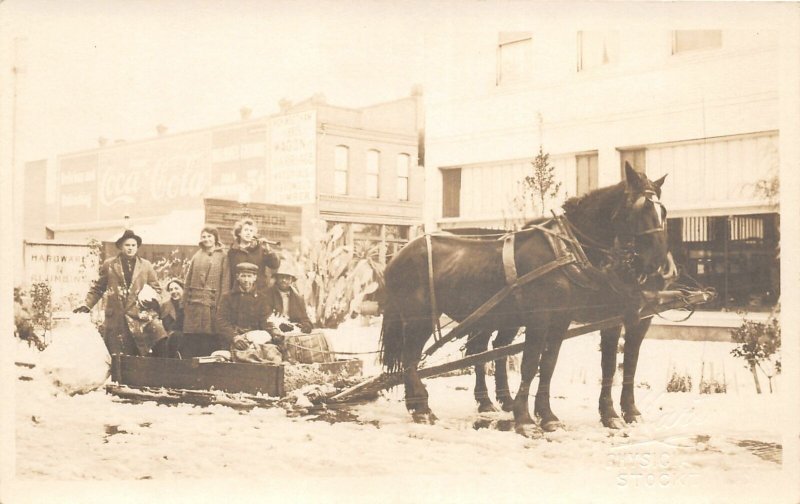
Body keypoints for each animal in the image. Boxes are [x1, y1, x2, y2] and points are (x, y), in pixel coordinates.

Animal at [380, 163, 668, 436]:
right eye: (642, 208)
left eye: (663, 212)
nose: (660, 265)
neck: (565, 250)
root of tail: (397, 255)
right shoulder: (541, 318)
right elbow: (531, 364)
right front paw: (525, 420)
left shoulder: (562, 319)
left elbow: (549, 365)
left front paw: (548, 416)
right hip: (420, 317)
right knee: (412, 357)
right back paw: (423, 408)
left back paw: (427, 404)